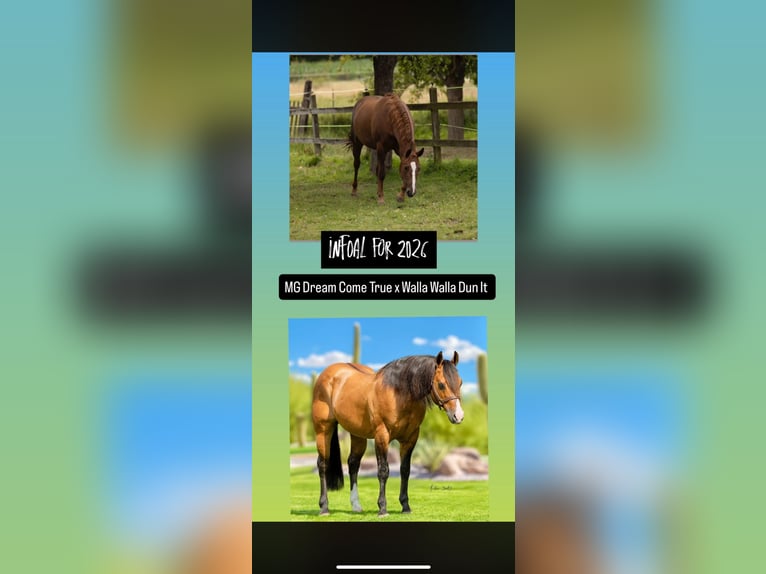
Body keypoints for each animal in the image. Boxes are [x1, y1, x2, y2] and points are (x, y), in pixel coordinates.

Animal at [311, 351, 463, 516]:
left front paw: (405, 506)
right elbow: (383, 471)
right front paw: (383, 509)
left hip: (358, 435)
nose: (458, 416)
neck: (398, 394)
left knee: (353, 464)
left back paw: (356, 506)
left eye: (460, 383)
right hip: (323, 430)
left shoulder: (410, 438)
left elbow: (405, 470)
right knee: (323, 465)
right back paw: (324, 507)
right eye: (441, 384)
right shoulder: (382, 436)